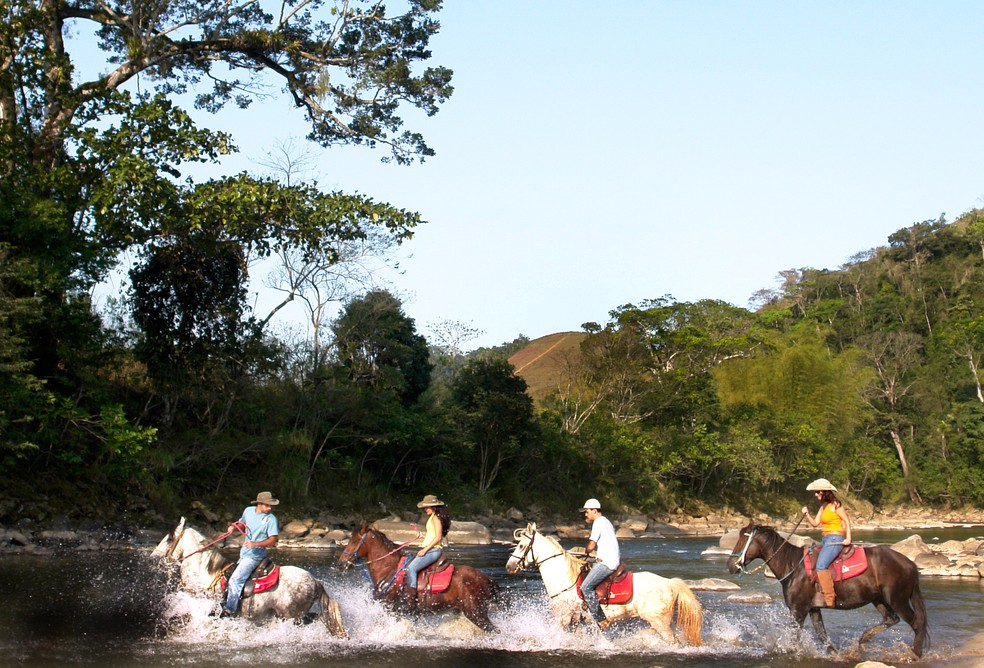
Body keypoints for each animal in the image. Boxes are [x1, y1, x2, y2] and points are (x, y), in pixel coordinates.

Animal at [338, 520, 500, 632]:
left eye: (354, 541)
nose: (341, 563)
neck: (389, 569)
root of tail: (486, 579)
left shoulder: (390, 608)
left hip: (476, 613)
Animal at [504, 520, 704, 644]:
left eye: (521, 546)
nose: (509, 566)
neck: (565, 578)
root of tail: (669, 583)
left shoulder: (563, 615)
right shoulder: (576, 619)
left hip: (660, 621)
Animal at [724, 520, 932, 656]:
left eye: (743, 540)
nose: (731, 565)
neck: (793, 566)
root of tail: (909, 564)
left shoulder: (798, 610)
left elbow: (795, 636)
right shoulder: (813, 609)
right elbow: (822, 635)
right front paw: (835, 653)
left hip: (897, 599)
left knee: (916, 623)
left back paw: (915, 654)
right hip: (878, 599)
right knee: (891, 619)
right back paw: (862, 641)